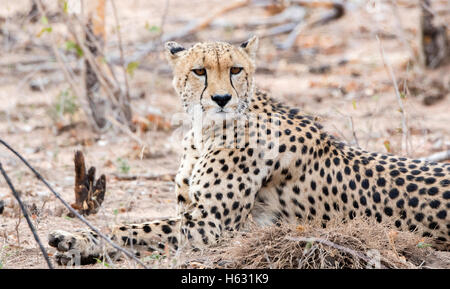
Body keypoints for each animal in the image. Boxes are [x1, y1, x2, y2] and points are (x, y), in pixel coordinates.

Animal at [47, 36, 448, 264]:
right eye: (199, 71)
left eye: (236, 69)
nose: (222, 99)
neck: (205, 131)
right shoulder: (191, 212)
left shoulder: (214, 225)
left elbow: (130, 228)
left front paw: (76, 239)